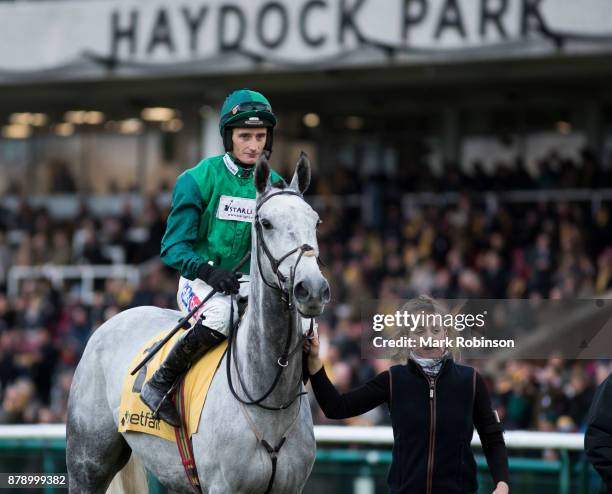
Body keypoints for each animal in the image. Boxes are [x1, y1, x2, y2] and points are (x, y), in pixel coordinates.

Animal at [67, 152, 330, 492]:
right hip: (88, 461)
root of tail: (112, 319)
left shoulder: (292, 487)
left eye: (315, 221)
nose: (312, 288)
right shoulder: (222, 486)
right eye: (266, 223)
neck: (269, 403)